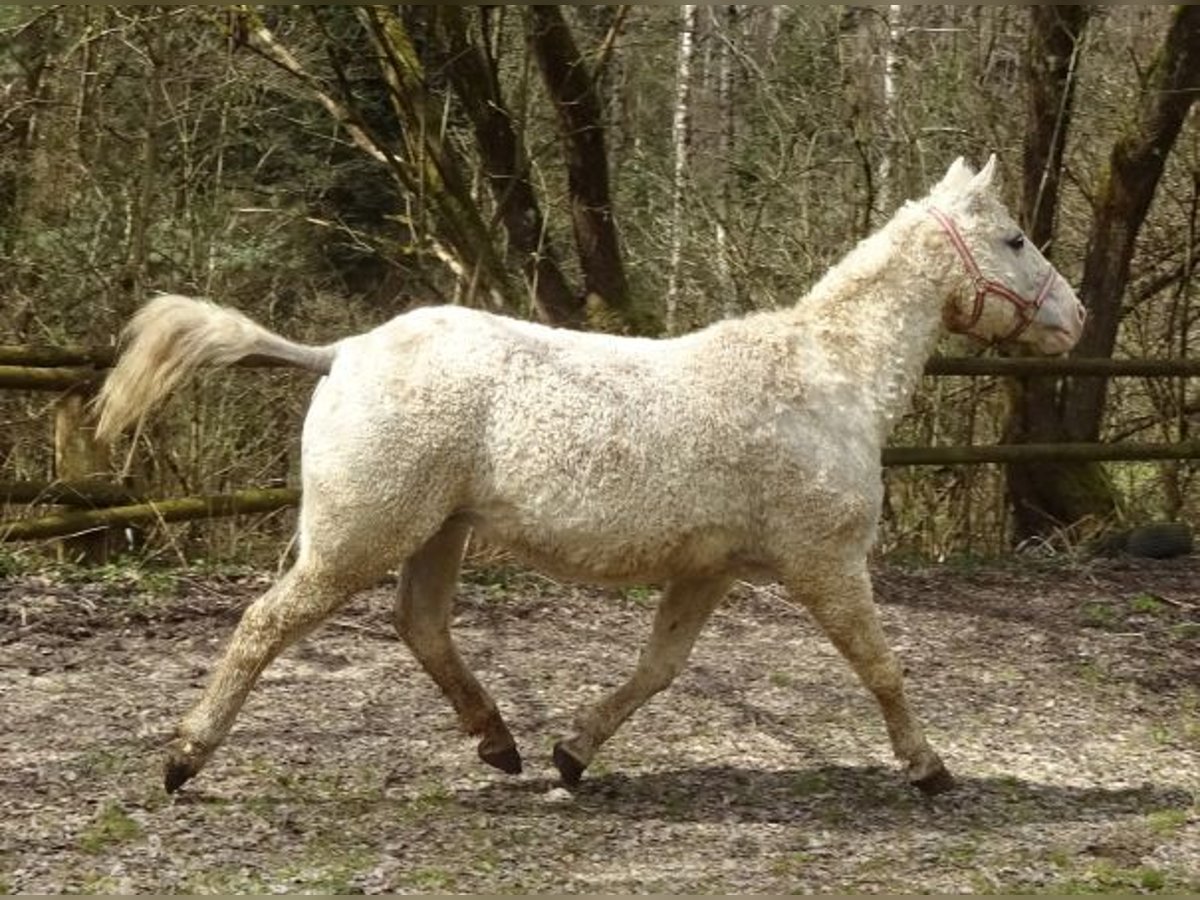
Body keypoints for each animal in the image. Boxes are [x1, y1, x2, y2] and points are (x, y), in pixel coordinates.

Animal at [93, 154, 1089, 796]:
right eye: (1015, 239)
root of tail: (342, 351)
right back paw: (184, 760)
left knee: (422, 627)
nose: (1073, 319)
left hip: (439, 534)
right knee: (266, 624)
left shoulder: (709, 571)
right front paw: (930, 770)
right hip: (359, 538)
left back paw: (501, 746)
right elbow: (881, 666)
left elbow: (659, 668)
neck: (826, 376)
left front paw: (572, 753)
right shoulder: (828, 565)